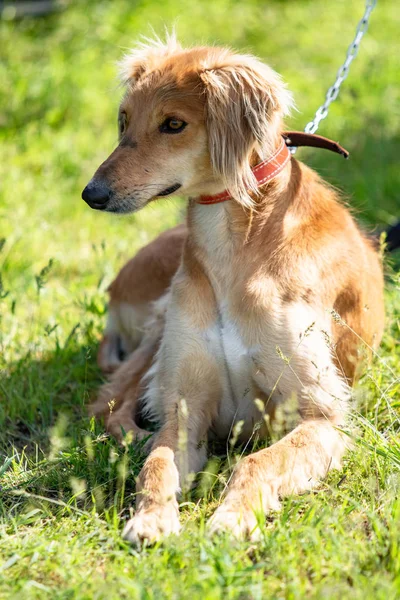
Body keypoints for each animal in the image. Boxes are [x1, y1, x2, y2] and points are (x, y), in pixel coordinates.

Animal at [81, 36, 384, 544]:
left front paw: (234, 515)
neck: (236, 247)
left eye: (174, 124)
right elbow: (158, 465)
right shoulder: (184, 410)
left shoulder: (322, 415)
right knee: (109, 403)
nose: (92, 194)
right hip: (160, 324)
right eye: (124, 120)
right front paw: (151, 517)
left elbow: (256, 462)